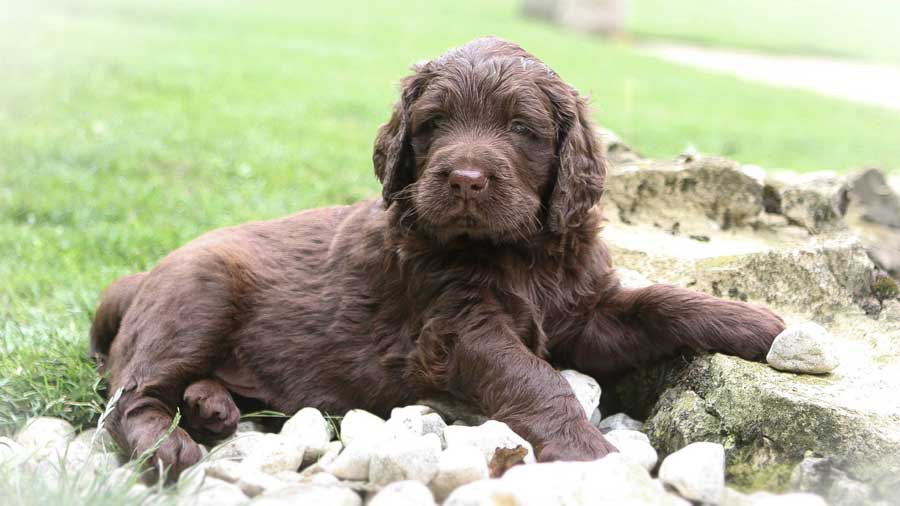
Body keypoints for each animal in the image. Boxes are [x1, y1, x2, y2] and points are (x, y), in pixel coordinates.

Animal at [88, 38, 784, 478]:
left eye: (521, 128)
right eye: (434, 123)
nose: (466, 179)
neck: (520, 252)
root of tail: (142, 277)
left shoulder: (587, 317)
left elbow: (658, 304)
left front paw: (762, 327)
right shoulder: (457, 329)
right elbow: (538, 380)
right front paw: (594, 457)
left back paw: (213, 406)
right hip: (198, 296)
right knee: (129, 394)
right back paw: (168, 448)